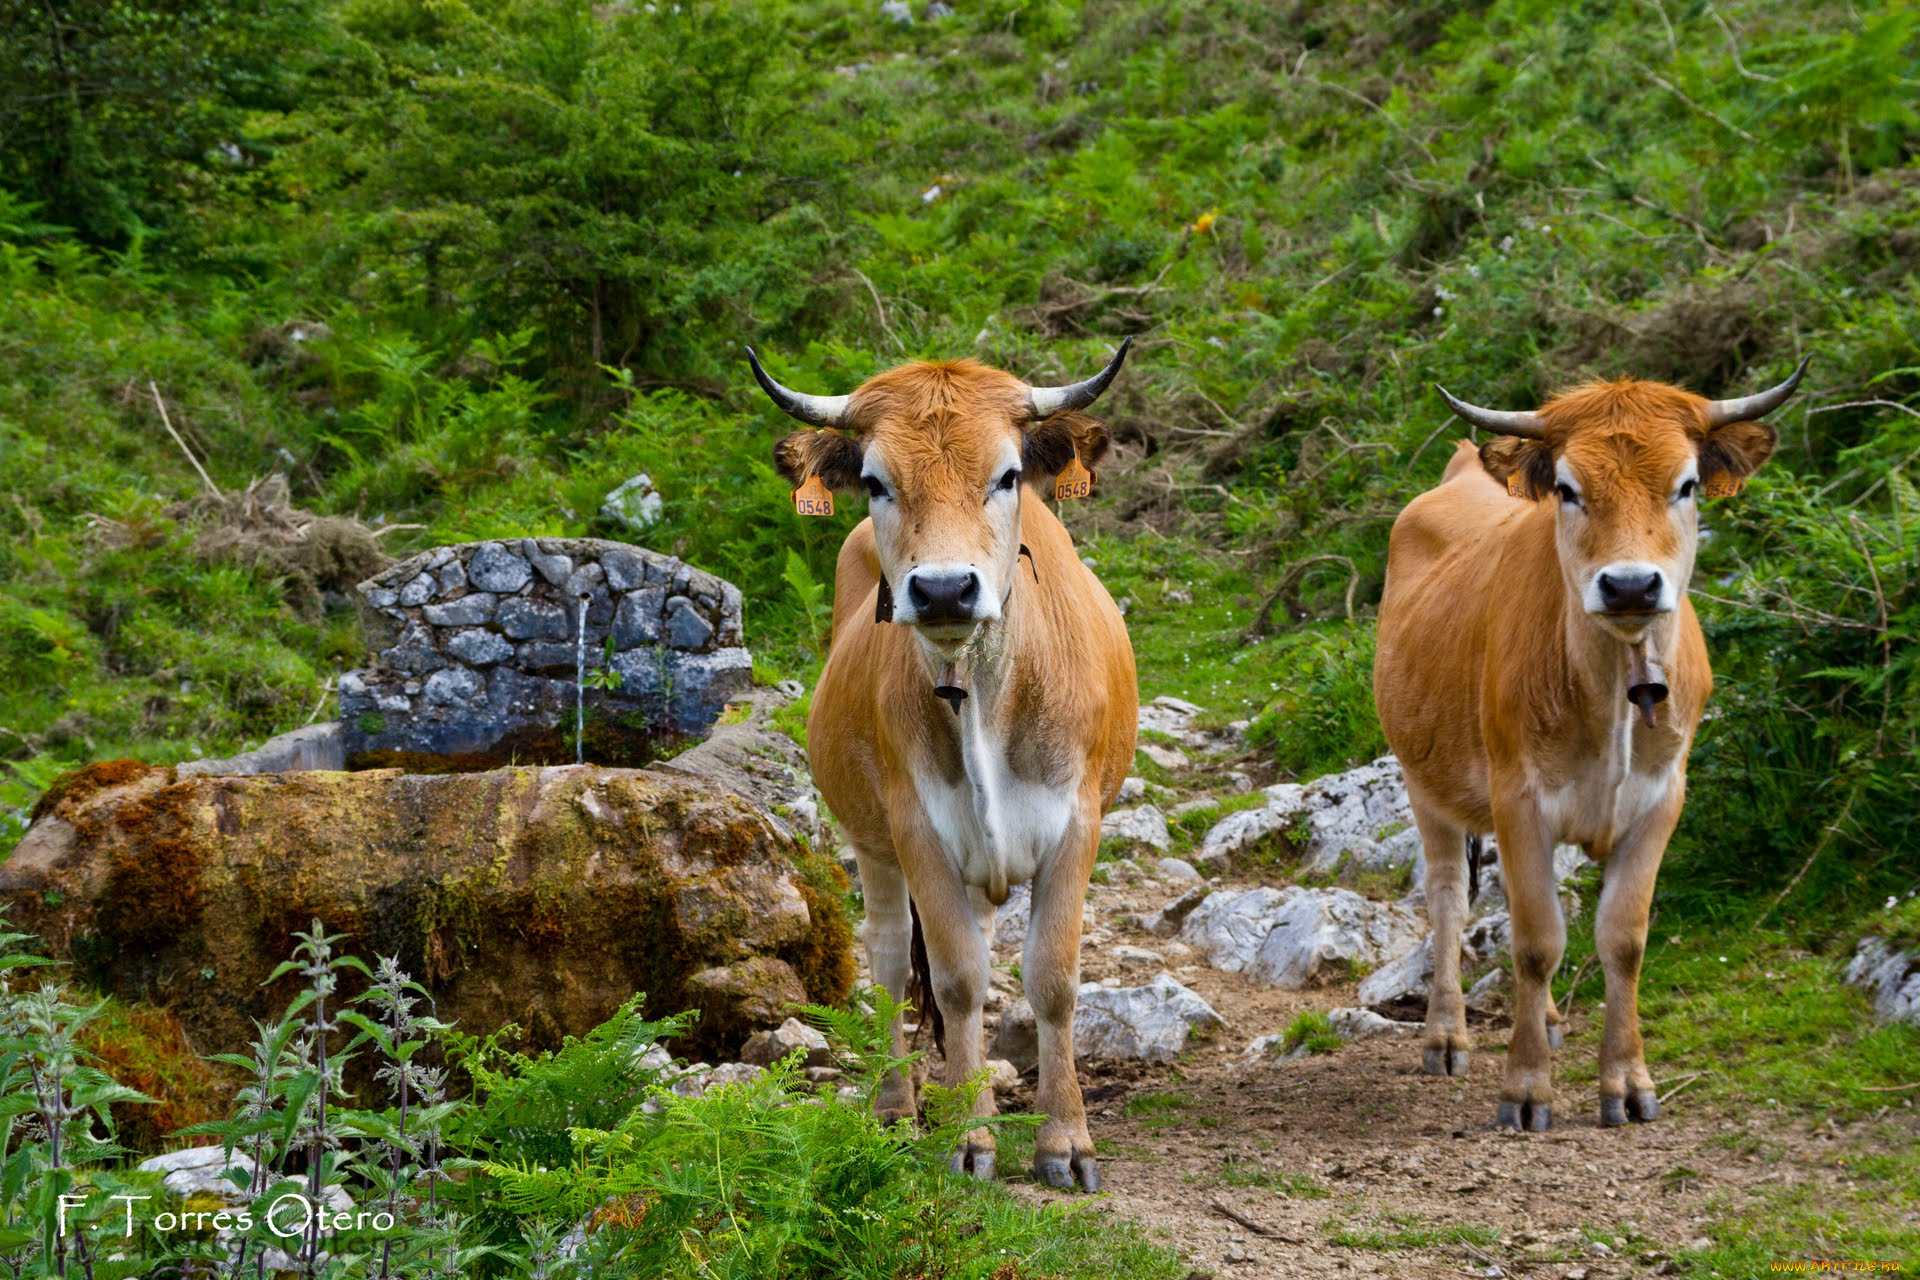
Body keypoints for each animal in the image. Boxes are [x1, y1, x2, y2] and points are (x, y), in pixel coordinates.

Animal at [748, 341, 1138, 1189]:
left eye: (1008, 474)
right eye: (874, 481)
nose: (944, 589)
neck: (985, 694)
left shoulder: (1076, 820)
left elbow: (1052, 979)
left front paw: (1065, 1141)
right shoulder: (916, 827)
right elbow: (956, 980)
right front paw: (970, 1137)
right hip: (873, 843)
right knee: (894, 962)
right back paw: (898, 1108)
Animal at [1374, 359, 1806, 1131]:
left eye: (1686, 484)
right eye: (1569, 489)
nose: (1630, 584)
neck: (1613, 696)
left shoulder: (1661, 800)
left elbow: (1623, 940)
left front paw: (1627, 1083)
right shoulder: (1518, 799)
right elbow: (1537, 941)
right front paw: (1525, 1090)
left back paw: (1543, 1020)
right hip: (1426, 783)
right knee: (1449, 895)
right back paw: (1447, 1036)